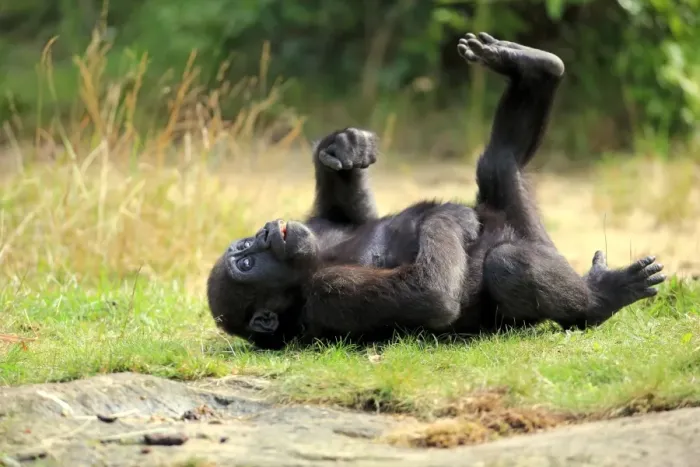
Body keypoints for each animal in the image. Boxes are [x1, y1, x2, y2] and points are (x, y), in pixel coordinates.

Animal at [206, 32, 667, 350]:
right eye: (245, 264)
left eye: (245, 246)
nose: (268, 231)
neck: (313, 258)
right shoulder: (327, 293)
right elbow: (430, 294)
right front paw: (448, 220)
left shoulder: (316, 228)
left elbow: (352, 217)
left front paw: (341, 149)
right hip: (530, 247)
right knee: (510, 263)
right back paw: (599, 299)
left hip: (521, 216)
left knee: (499, 163)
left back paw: (531, 65)